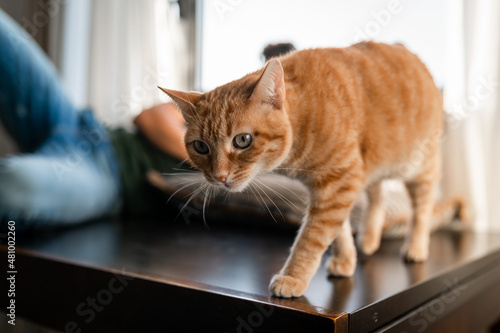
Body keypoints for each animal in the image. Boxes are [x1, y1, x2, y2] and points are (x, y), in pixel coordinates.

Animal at [159, 40, 442, 296]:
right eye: (200, 146)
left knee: (423, 207)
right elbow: (338, 230)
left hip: (417, 167)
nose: (219, 176)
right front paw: (346, 260)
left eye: (242, 140)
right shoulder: (335, 186)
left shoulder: (339, 182)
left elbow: (312, 237)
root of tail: (406, 50)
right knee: (377, 194)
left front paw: (293, 277)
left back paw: (416, 247)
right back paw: (369, 239)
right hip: (373, 166)